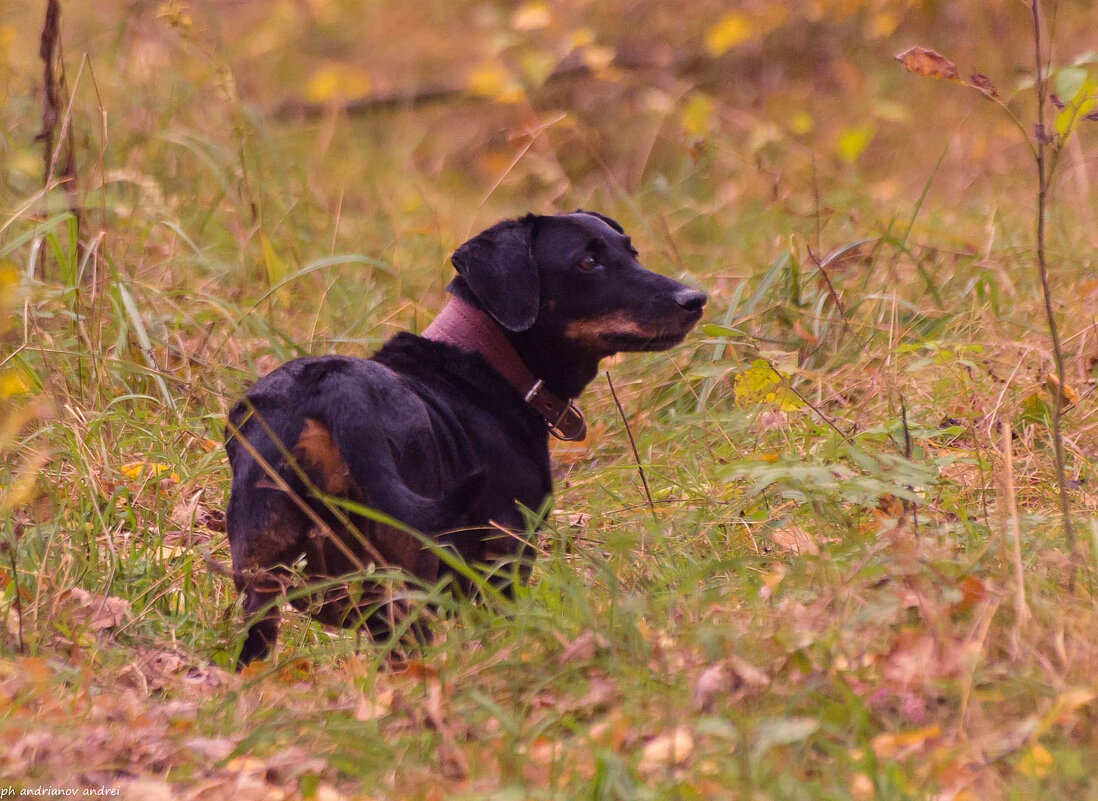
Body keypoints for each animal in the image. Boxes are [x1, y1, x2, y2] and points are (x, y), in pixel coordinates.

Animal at [227, 209, 707, 662]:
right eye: (588, 262)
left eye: (632, 253)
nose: (696, 299)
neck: (489, 358)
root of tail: (330, 391)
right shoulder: (504, 562)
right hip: (403, 580)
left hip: (262, 583)